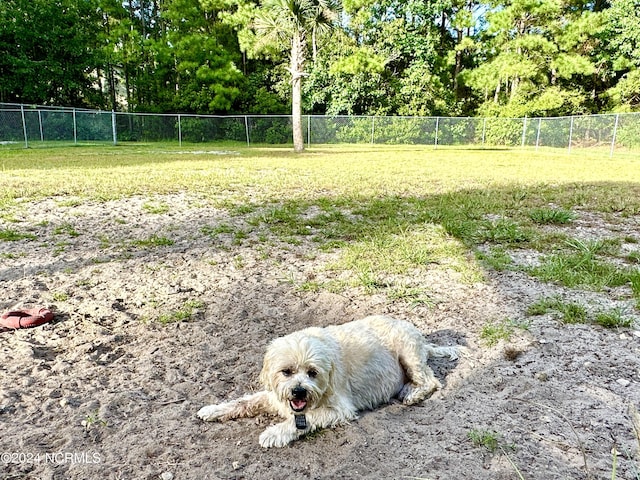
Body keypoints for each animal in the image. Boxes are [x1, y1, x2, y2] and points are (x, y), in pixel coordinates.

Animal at [198, 316, 462, 446]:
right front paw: (213, 410)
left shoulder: (339, 409)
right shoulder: (274, 397)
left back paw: (412, 393)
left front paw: (273, 434)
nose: (299, 391)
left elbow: (301, 421)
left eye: (312, 372)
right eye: (286, 371)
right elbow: (244, 402)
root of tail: (423, 340)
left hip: (408, 352)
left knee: (431, 380)